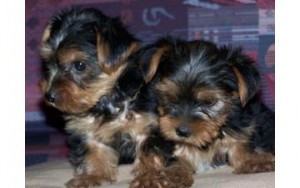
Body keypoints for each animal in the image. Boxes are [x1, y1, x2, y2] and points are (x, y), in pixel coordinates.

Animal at [39, 7, 159, 187]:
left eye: (79, 65)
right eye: (49, 64)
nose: (49, 96)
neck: (105, 100)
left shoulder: (146, 124)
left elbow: (149, 152)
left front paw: (149, 177)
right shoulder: (85, 129)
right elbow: (94, 152)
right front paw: (92, 176)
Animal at [130, 36, 276, 187]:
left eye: (209, 101)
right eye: (169, 97)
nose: (182, 132)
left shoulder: (240, 123)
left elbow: (240, 143)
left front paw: (254, 161)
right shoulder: (161, 134)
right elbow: (170, 155)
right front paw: (171, 175)